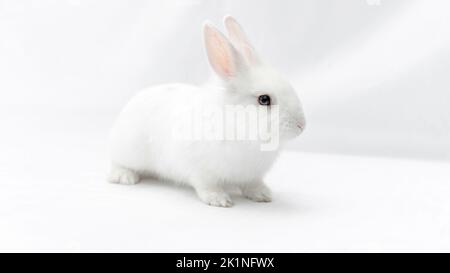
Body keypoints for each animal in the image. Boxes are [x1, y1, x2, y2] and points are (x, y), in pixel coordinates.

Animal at [108, 15, 306, 206]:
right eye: (264, 99)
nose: (302, 125)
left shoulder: (252, 175)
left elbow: (252, 184)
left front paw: (263, 195)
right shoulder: (201, 171)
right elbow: (207, 186)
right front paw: (219, 200)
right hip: (129, 152)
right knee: (116, 162)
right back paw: (124, 176)